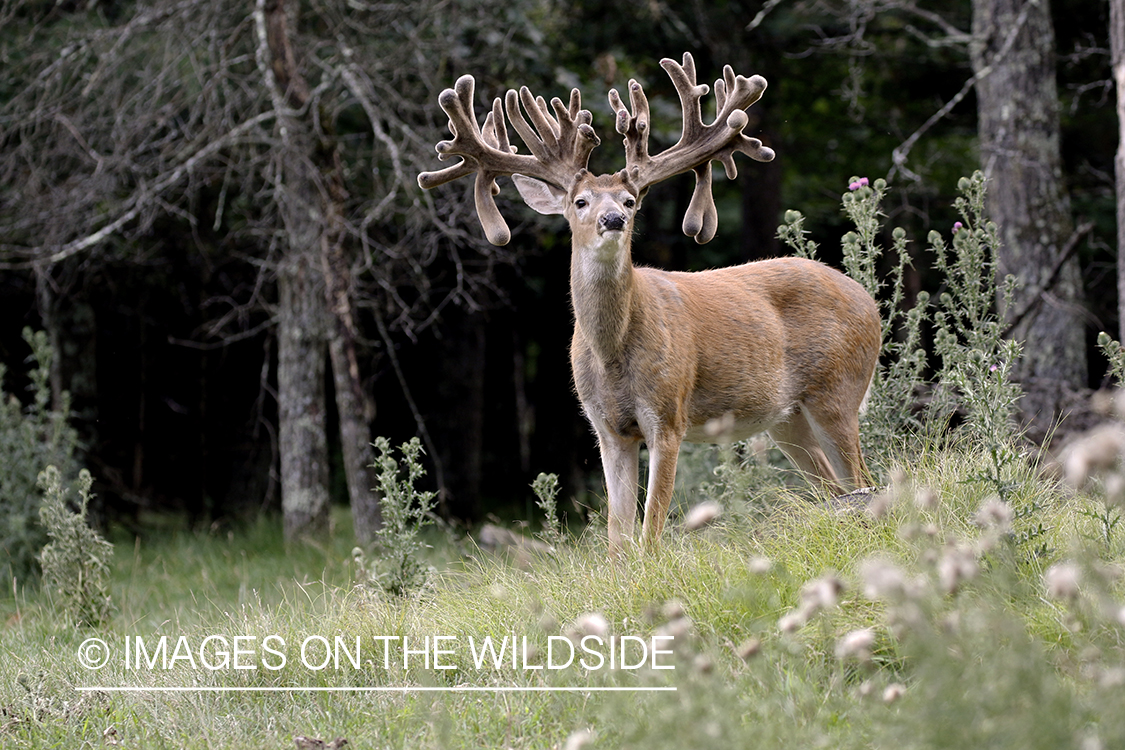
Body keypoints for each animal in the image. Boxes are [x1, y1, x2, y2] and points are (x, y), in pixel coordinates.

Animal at [418, 52, 882, 555]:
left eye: (630, 199)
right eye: (579, 201)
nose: (613, 219)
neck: (613, 355)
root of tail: (868, 299)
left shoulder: (668, 414)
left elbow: (650, 529)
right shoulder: (607, 429)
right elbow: (617, 536)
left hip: (837, 390)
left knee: (864, 479)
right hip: (786, 417)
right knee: (834, 487)